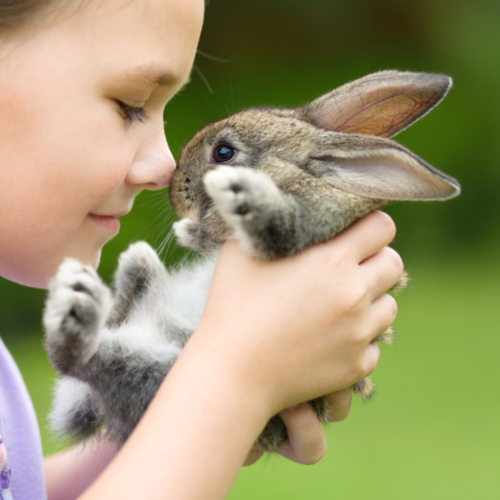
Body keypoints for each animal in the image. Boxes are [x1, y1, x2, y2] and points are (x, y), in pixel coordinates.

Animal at [44, 69, 460, 454]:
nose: (175, 190)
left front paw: (237, 196)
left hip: (170, 377)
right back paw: (125, 273)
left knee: (82, 358)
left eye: (224, 153)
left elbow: (272, 223)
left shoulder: (302, 226)